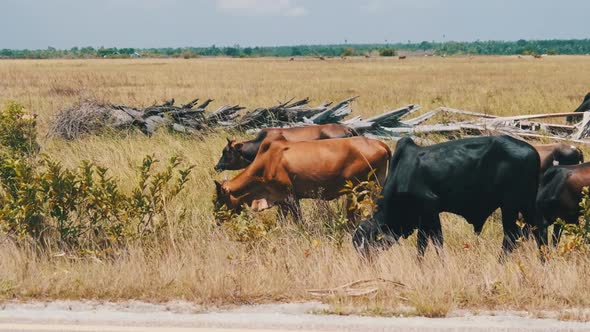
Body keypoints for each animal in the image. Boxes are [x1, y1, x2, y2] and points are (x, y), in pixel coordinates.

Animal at [215, 135, 390, 220]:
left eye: (219, 199)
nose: (217, 220)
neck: (267, 161)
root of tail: (381, 145)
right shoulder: (282, 201)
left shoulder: (290, 197)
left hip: (358, 191)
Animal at [356, 135, 544, 256]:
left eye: (365, 243)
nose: (366, 263)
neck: (402, 172)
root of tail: (533, 152)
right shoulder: (423, 218)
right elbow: (422, 245)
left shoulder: (430, 209)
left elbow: (436, 242)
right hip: (527, 204)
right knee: (538, 232)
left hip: (510, 205)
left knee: (511, 236)